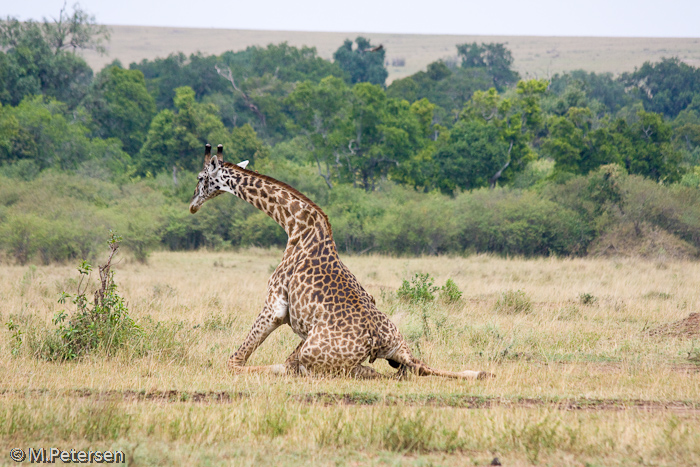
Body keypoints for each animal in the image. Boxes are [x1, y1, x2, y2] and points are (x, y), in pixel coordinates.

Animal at [190, 144, 492, 380]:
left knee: (312, 368)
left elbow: (234, 362)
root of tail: (378, 341)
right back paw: (476, 372)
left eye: (200, 177)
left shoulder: (275, 304)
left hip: (314, 352)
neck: (294, 224)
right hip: (398, 345)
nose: (192, 205)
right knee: (411, 367)